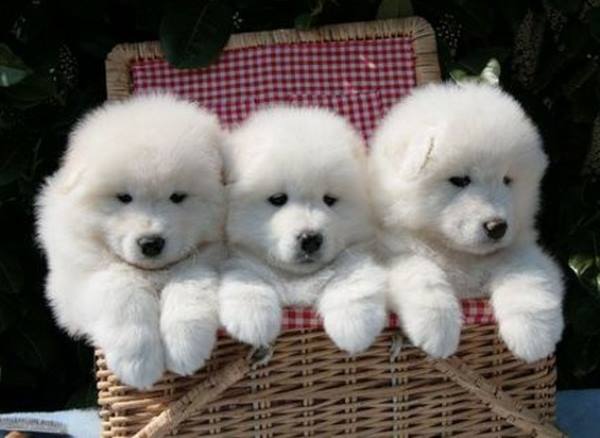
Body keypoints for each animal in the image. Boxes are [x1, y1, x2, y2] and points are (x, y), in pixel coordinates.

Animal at [36, 94, 226, 388]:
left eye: (177, 197)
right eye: (124, 197)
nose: (151, 243)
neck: (155, 273)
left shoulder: (213, 256)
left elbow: (191, 280)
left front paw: (184, 347)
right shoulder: (74, 283)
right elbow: (120, 286)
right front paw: (138, 361)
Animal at [219, 107, 384, 356]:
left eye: (329, 200)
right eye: (278, 199)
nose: (311, 239)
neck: (297, 277)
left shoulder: (359, 249)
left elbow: (350, 279)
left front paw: (354, 324)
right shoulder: (236, 254)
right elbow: (245, 273)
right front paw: (253, 318)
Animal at [370, 83, 564, 362]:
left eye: (507, 180)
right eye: (460, 180)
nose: (497, 227)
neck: (459, 254)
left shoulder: (520, 249)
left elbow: (529, 274)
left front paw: (534, 335)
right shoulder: (391, 254)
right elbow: (421, 273)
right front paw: (438, 329)